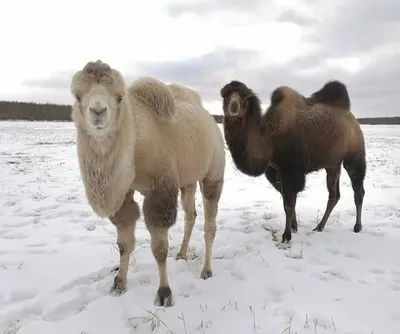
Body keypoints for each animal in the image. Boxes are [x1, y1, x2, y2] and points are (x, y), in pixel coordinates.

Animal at [220, 79, 368, 244]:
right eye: (225, 98)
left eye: (244, 99)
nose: (233, 107)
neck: (269, 139)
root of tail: (352, 117)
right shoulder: (275, 171)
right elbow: (287, 200)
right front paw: (294, 226)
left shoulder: (292, 170)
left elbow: (289, 204)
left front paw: (286, 235)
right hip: (332, 163)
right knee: (334, 195)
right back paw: (320, 226)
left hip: (354, 155)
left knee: (358, 190)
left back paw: (357, 226)